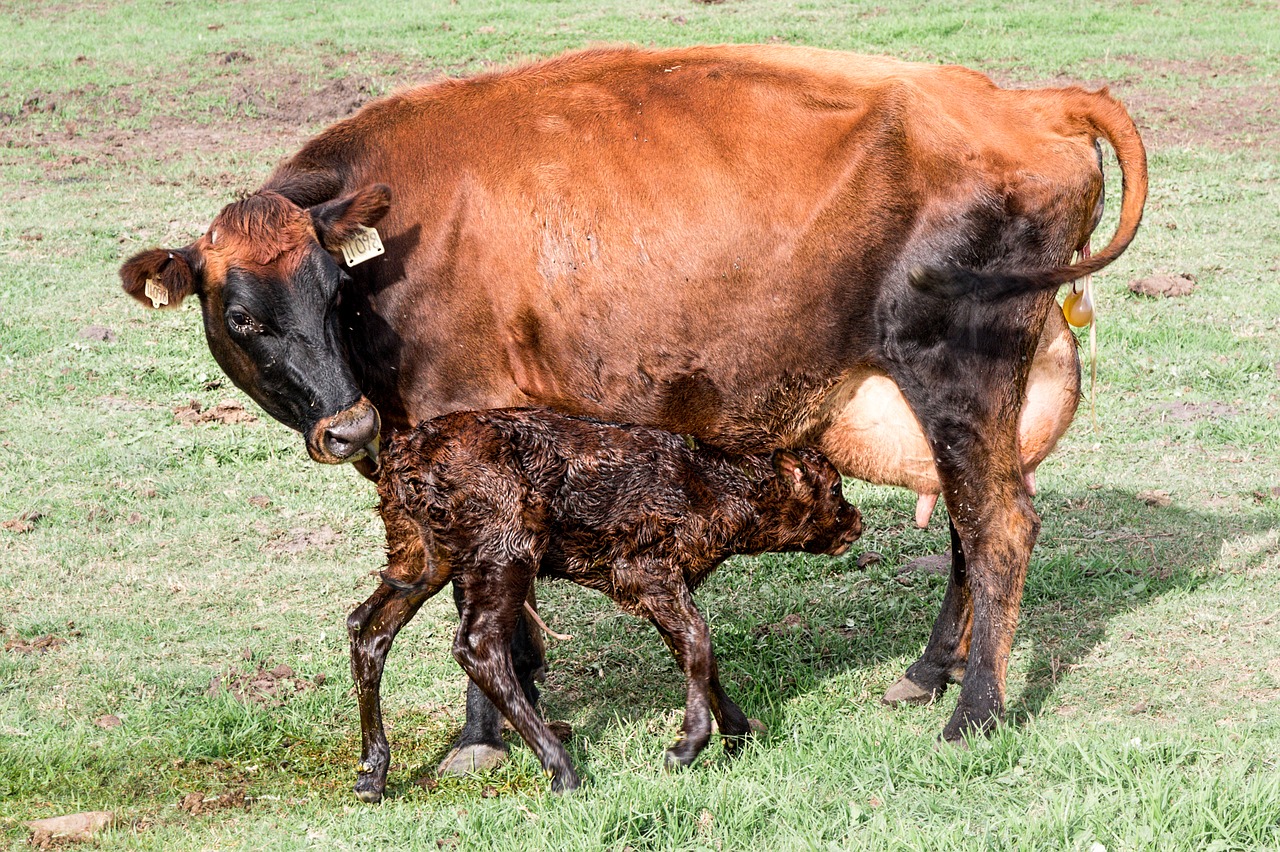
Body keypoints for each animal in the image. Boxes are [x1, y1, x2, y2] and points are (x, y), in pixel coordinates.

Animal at [355, 406, 865, 798]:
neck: (716, 495)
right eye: (836, 488)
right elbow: (700, 642)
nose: (857, 520)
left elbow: (694, 652)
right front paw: (687, 747)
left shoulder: (663, 583)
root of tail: (405, 458)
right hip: (505, 546)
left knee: (367, 627)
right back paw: (563, 771)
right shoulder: (644, 567)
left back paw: (371, 775)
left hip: (417, 554)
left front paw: (736, 734)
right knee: (477, 644)